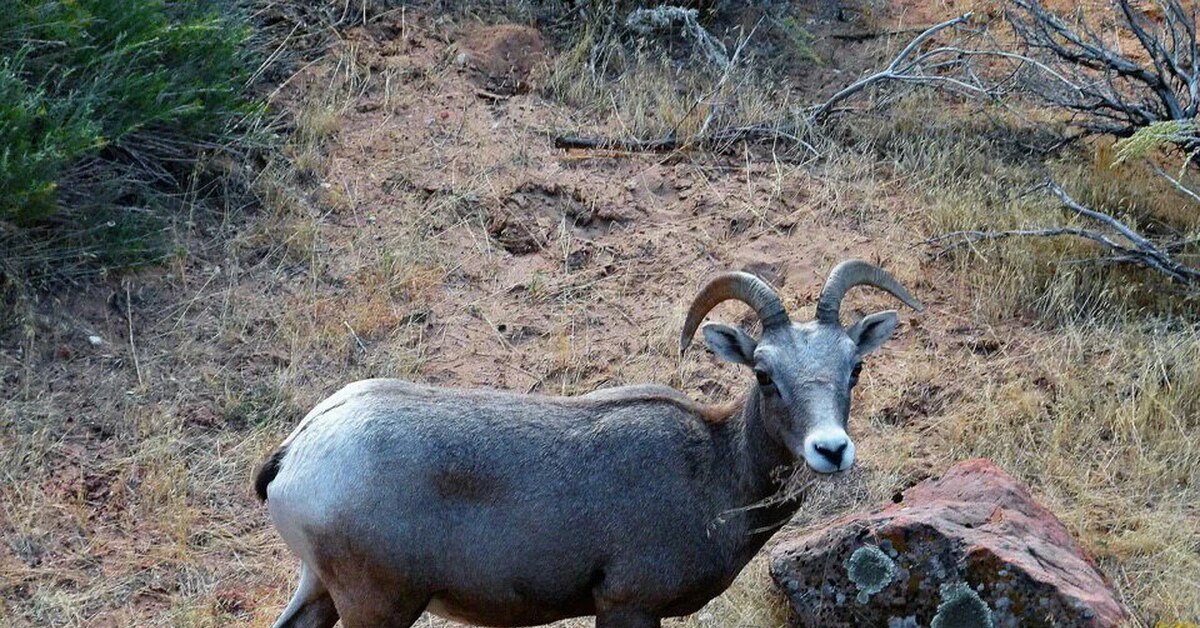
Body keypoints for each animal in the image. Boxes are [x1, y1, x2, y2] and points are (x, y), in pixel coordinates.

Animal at [258, 258, 921, 624]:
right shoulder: (628, 607)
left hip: (321, 593)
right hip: (377, 606)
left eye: (854, 368)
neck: (714, 474)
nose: (830, 449)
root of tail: (296, 454)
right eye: (763, 373)